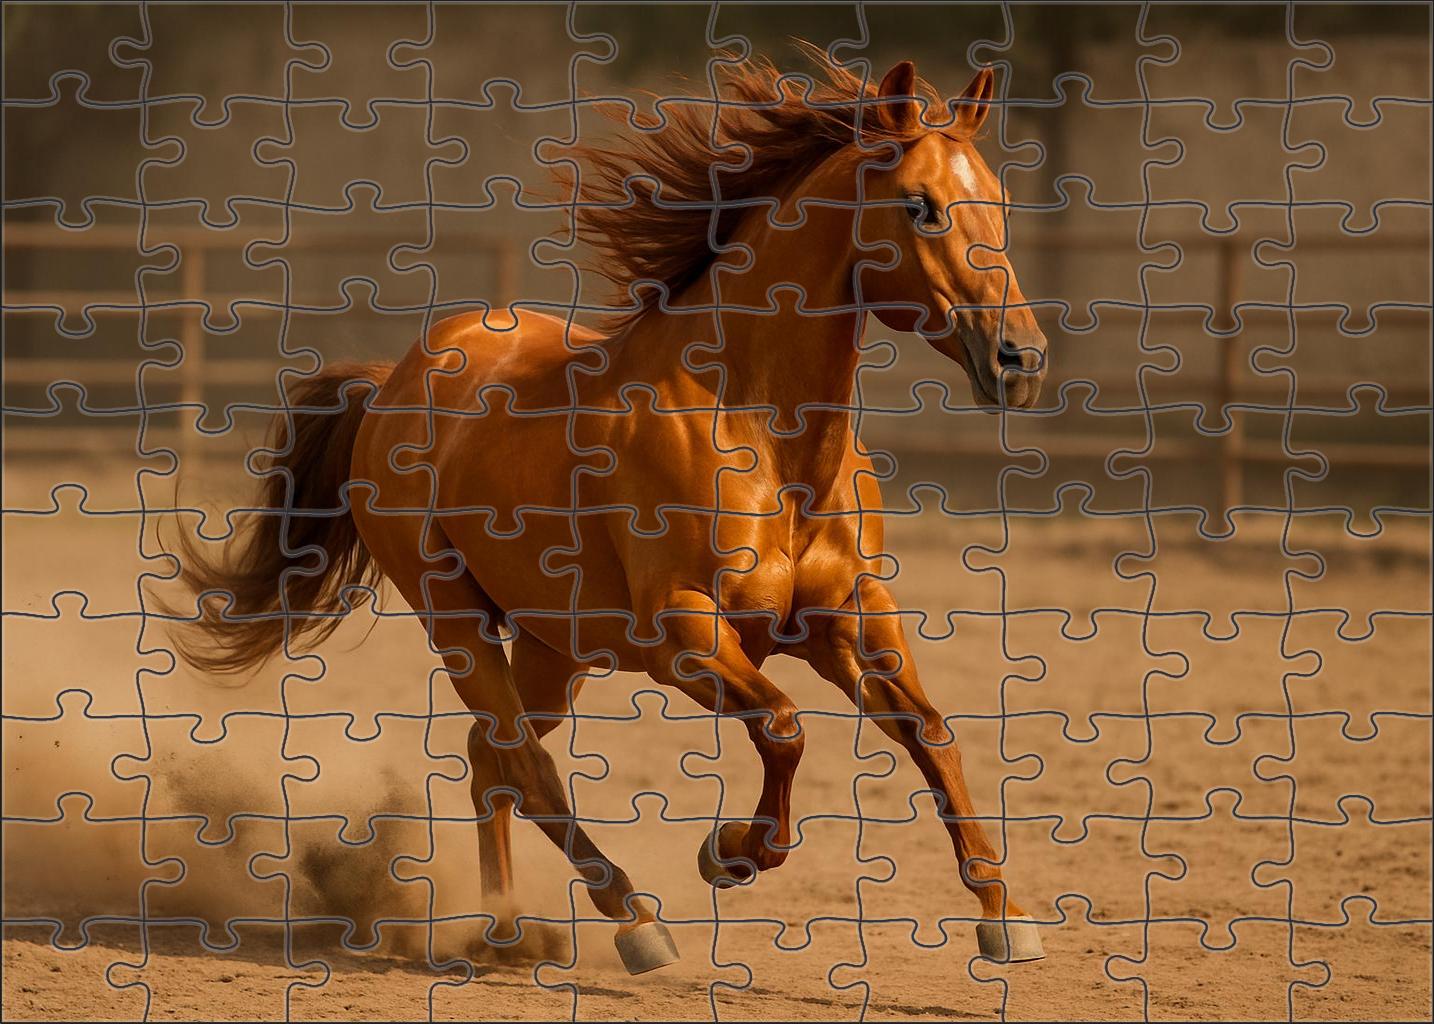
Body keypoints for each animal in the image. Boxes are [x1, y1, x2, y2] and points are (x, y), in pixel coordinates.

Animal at [173, 52, 1049, 974]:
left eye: (998, 200)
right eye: (920, 204)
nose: (1021, 360)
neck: (759, 437)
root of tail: (390, 384)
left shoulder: (850, 618)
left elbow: (932, 736)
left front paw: (1005, 915)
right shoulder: (683, 634)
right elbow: (783, 726)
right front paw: (728, 852)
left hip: (554, 647)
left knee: (491, 759)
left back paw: (509, 929)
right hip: (455, 619)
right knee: (524, 764)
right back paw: (627, 920)